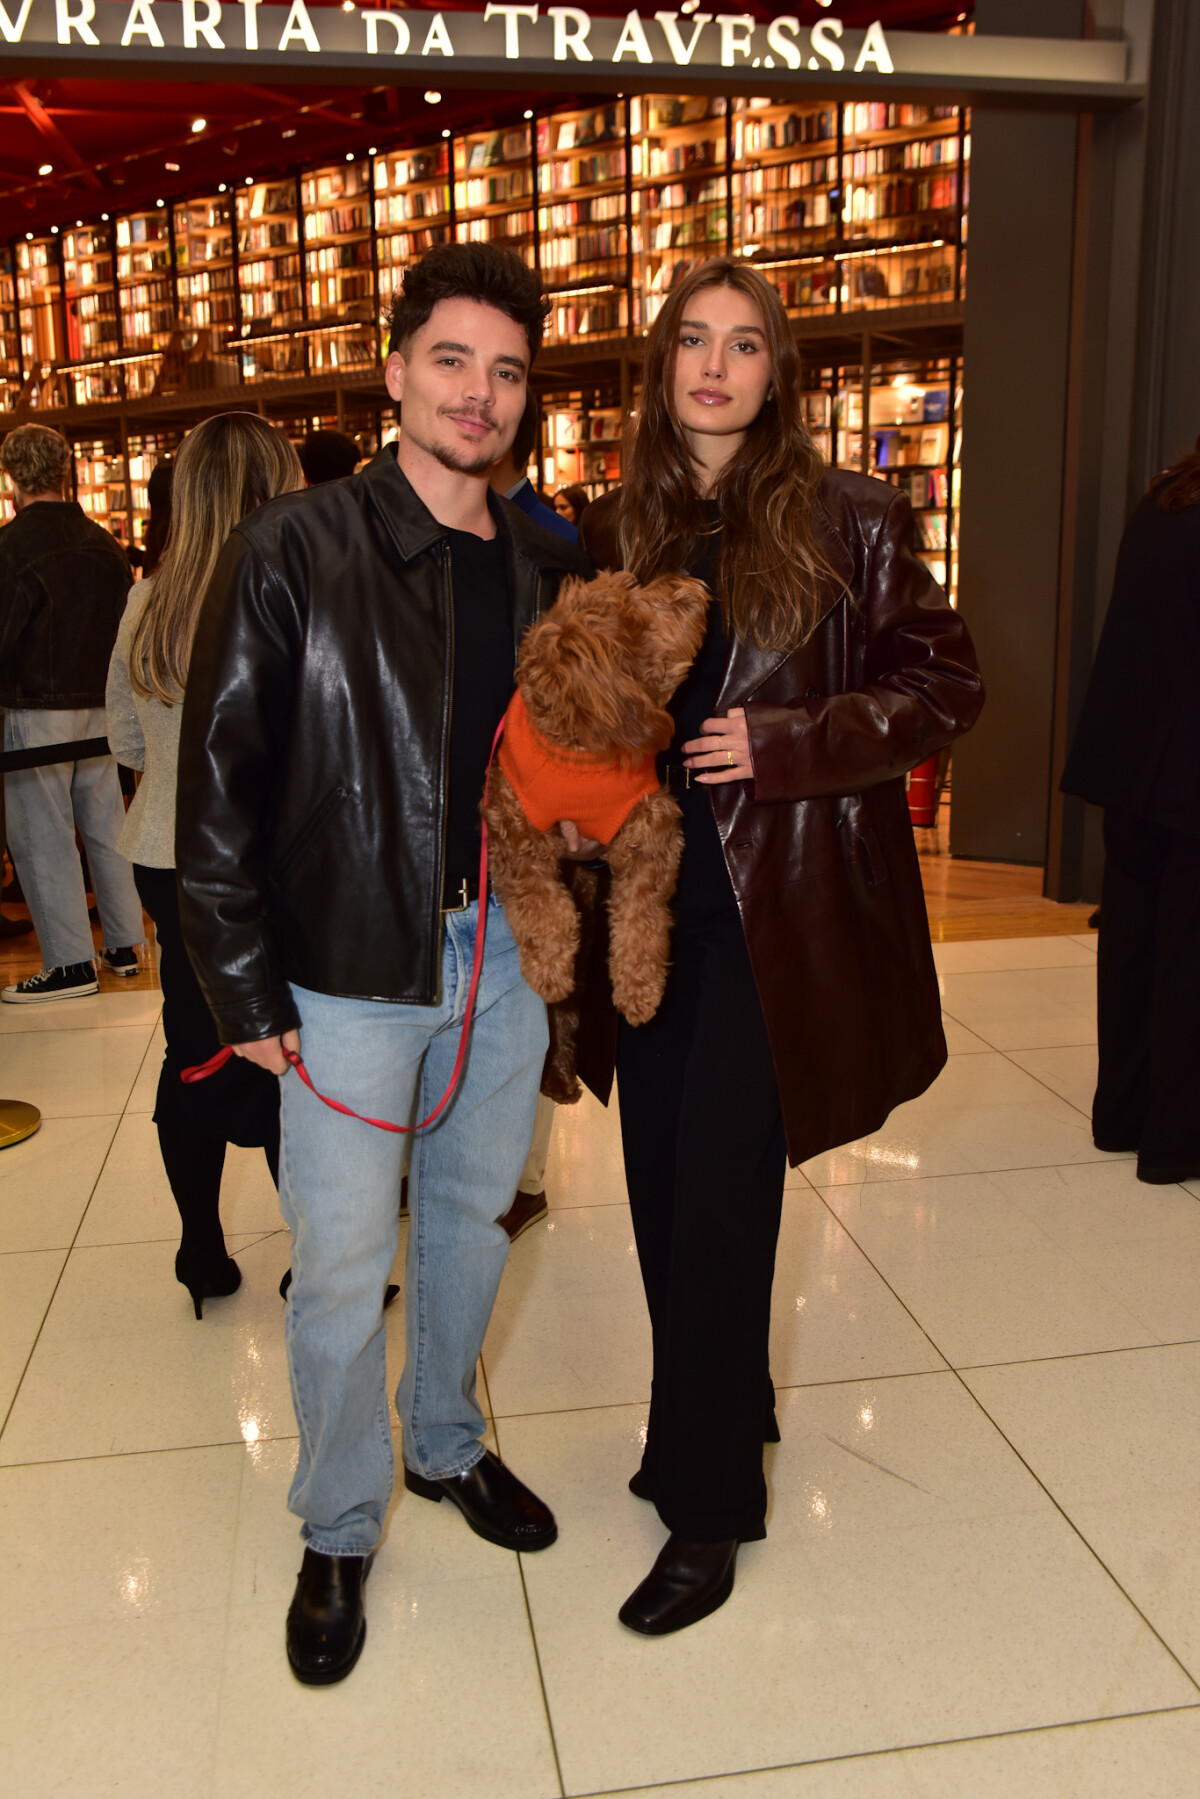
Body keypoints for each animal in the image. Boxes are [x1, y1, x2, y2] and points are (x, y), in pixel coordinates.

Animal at [485, 561, 712, 1043]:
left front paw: (640, 989)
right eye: (640, 606)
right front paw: (549, 969)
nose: (683, 578)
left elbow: (642, 914)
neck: (583, 752)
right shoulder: (512, 823)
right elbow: (539, 901)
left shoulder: (651, 825)